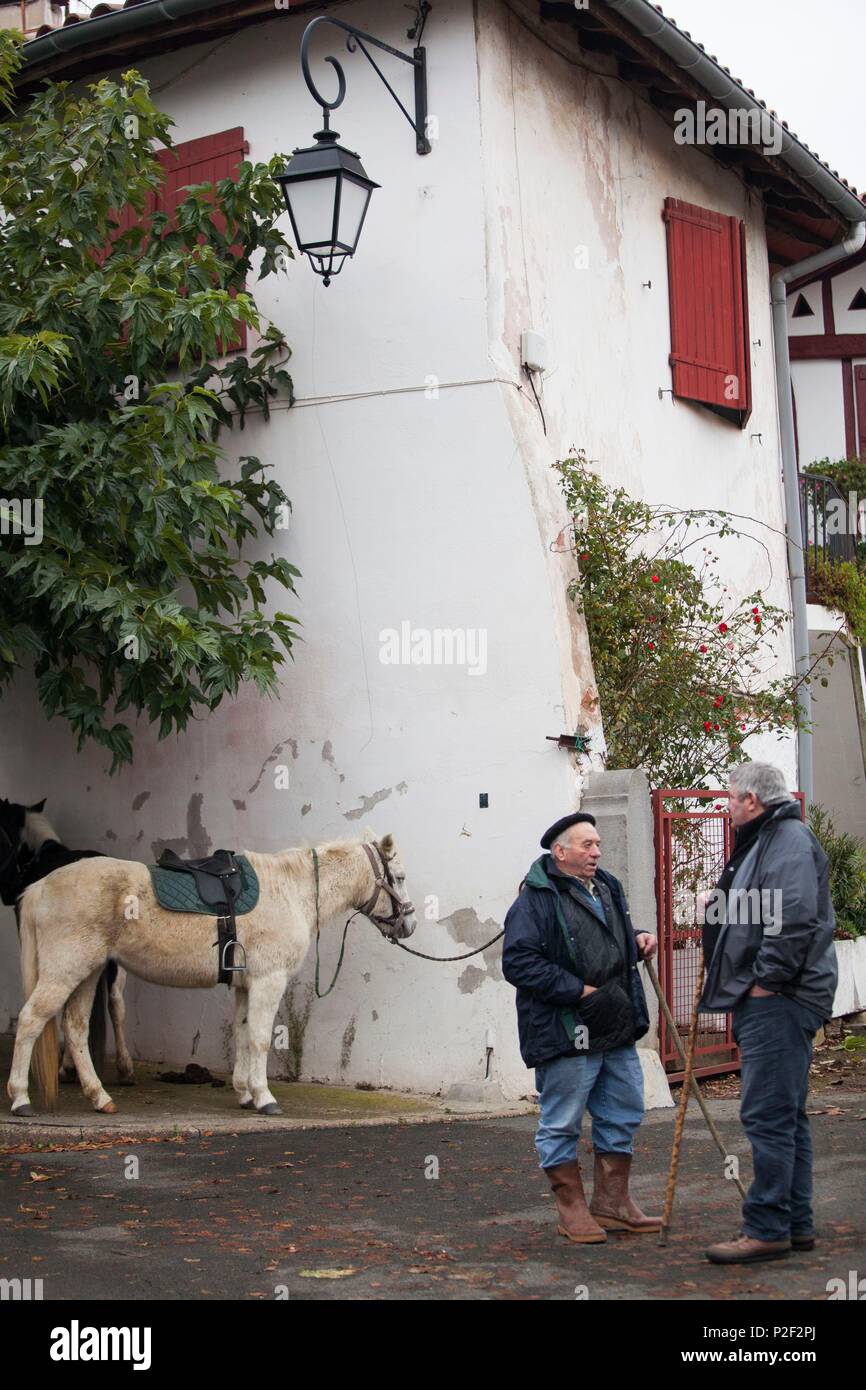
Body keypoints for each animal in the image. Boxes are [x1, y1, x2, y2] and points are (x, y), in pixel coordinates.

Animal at [8, 834, 417, 1117]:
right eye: (398, 877)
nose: (409, 924)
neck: (289, 891)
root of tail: (39, 886)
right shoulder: (268, 981)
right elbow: (261, 1040)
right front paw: (264, 1097)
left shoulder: (245, 985)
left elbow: (242, 1034)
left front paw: (244, 1092)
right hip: (66, 970)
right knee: (30, 1020)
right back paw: (20, 1099)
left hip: (89, 972)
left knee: (76, 1029)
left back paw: (100, 1098)